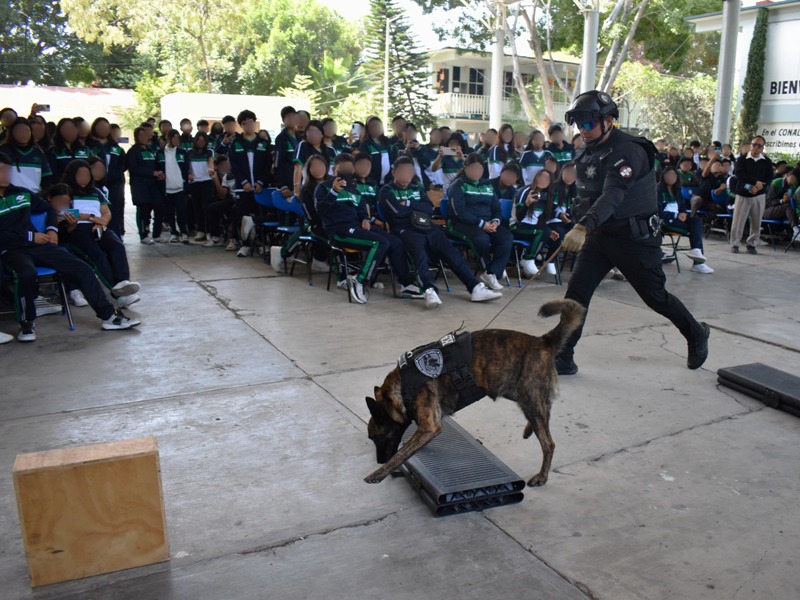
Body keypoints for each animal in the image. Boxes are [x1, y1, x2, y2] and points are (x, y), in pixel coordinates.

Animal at [364, 298, 585, 486]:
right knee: (545, 412)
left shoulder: (429, 426)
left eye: (375, 436)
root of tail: (543, 341)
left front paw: (378, 473)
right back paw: (529, 429)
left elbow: (402, 453)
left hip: (529, 397)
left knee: (548, 443)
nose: (380, 460)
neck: (401, 388)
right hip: (517, 392)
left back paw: (542, 476)